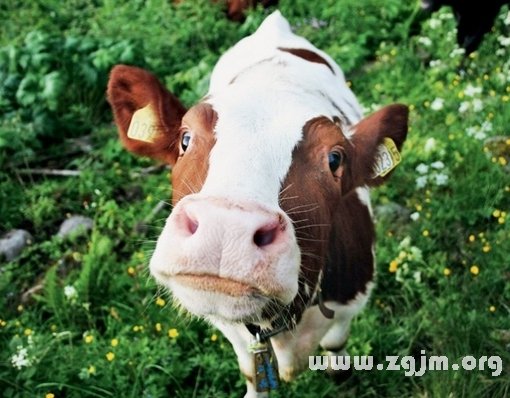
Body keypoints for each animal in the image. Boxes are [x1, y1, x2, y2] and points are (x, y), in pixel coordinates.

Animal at [105, 10, 408, 396]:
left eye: (335, 159)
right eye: (185, 139)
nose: (226, 229)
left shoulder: (350, 304)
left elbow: (337, 349)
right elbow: (252, 370)